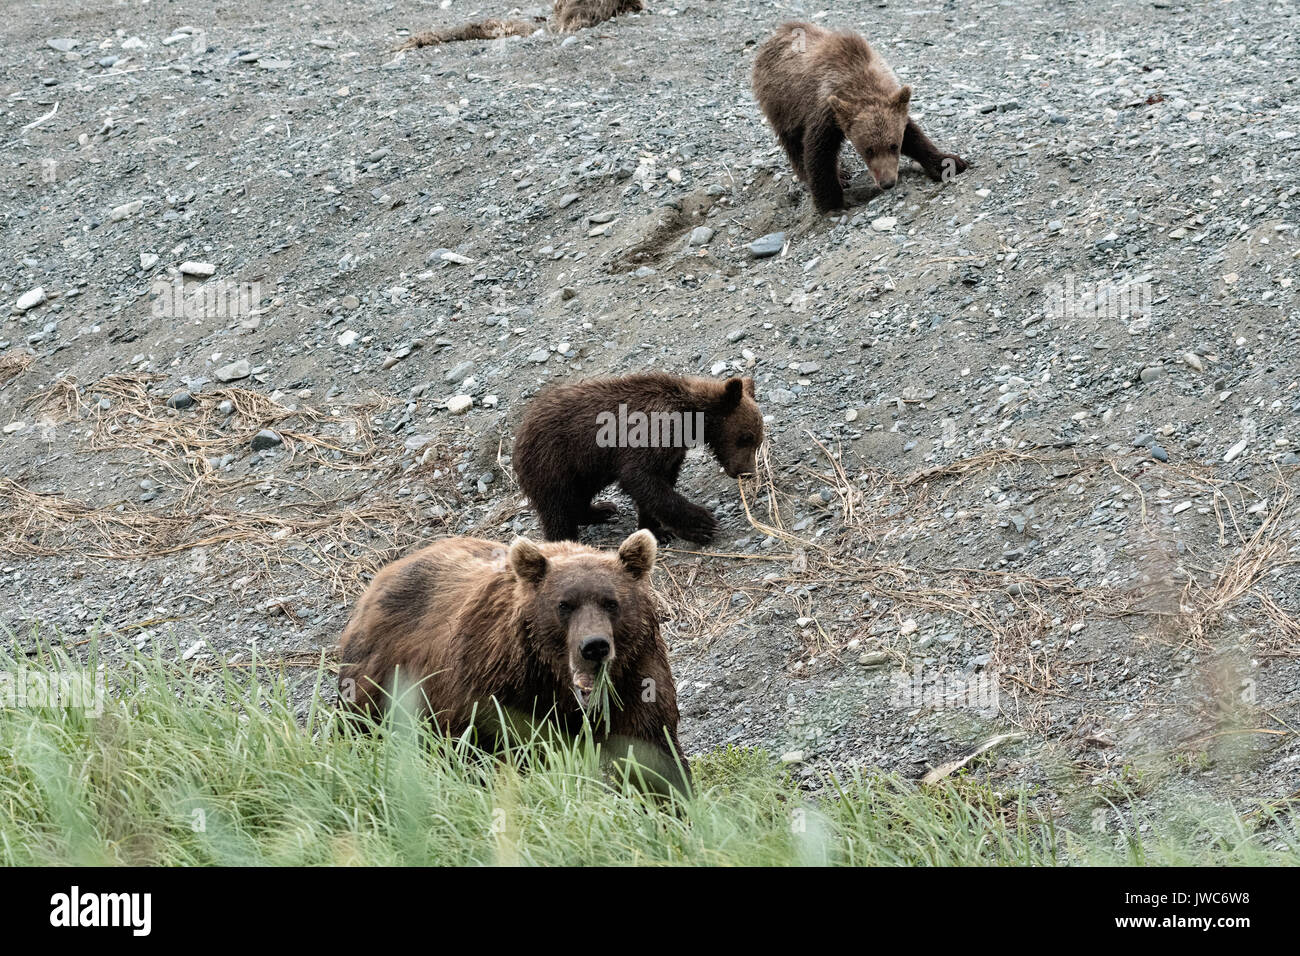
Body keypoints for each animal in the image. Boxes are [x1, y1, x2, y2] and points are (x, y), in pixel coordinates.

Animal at [338, 528, 689, 793]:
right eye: (564, 605)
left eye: (611, 602)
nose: (594, 646)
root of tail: (382, 575)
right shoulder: (498, 688)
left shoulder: (636, 677)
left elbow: (650, 755)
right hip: (381, 679)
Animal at [513, 373, 764, 544]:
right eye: (746, 437)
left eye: (758, 440)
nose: (747, 471)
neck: (691, 421)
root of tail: (520, 431)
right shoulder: (651, 433)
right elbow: (641, 478)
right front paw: (702, 524)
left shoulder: (672, 453)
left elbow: (655, 486)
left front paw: (657, 530)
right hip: (553, 462)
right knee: (558, 511)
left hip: (583, 470)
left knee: (577, 499)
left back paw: (602, 509)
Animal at [752, 21, 969, 213]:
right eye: (868, 150)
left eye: (894, 146)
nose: (887, 183)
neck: (857, 80)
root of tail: (776, 34)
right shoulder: (825, 112)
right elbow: (818, 152)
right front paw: (832, 202)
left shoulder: (889, 104)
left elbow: (913, 135)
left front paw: (948, 163)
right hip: (782, 104)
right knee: (793, 143)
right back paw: (837, 174)